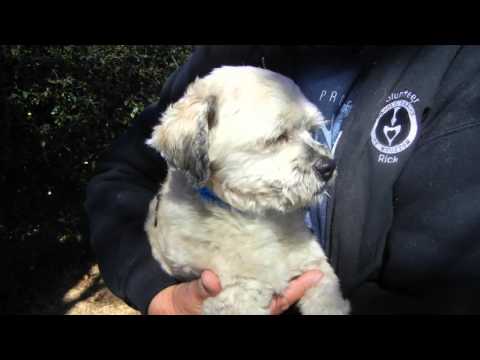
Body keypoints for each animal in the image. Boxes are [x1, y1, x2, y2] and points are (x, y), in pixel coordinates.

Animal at [144, 66, 350, 314]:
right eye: (278, 137)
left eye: (311, 130)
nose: (329, 166)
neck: (255, 217)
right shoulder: (236, 295)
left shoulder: (316, 268)